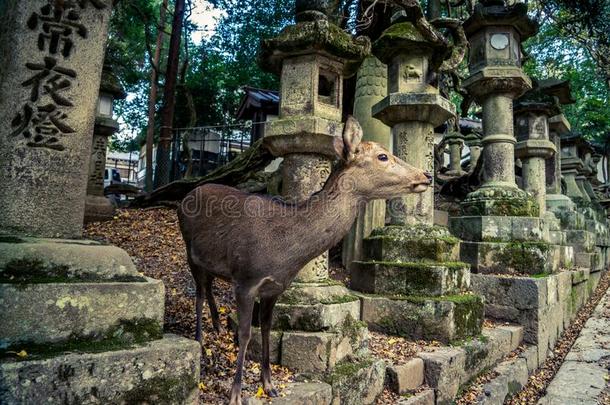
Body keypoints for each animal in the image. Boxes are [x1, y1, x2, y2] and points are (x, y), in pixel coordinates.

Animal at [177, 115, 432, 402]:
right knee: (198, 294)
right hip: (189, 250)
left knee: (208, 286)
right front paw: (235, 395)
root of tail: (187, 195)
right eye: (383, 156)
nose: (427, 175)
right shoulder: (246, 279)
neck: (284, 253)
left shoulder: (275, 287)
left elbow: (266, 329)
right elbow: (245, 334)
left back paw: (217, 328)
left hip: (209, 262)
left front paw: (270, 385)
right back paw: (200, 343)